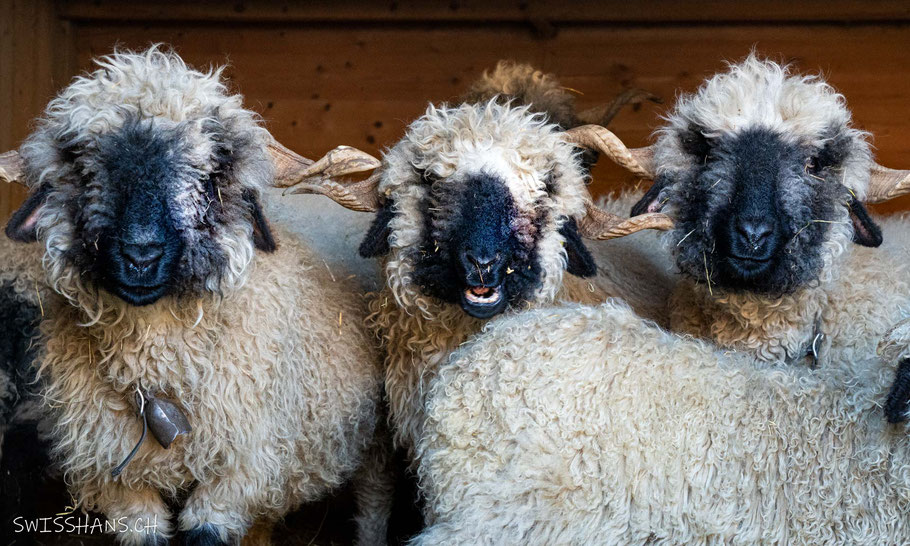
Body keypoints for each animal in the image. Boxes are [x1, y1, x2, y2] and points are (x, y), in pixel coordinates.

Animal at [0, 47, 392, 544]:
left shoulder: (237, 476)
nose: (140, 254)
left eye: (208, 179)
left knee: (374, 500)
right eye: (86, 173)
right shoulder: (118, 482)